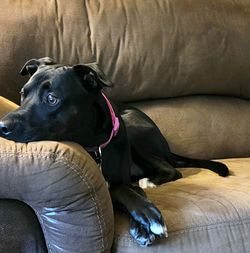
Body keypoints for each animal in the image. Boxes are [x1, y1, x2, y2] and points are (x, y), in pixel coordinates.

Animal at [0, 57, 229, 247]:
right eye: (22, 94)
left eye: (51, 98)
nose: (2, 126)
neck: (95, 145)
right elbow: (122, 191)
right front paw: (145, 219)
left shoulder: (123, 175)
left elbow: (125, 188)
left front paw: (145, 218)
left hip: (134, 129)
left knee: (172, 169)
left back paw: (150, 180)